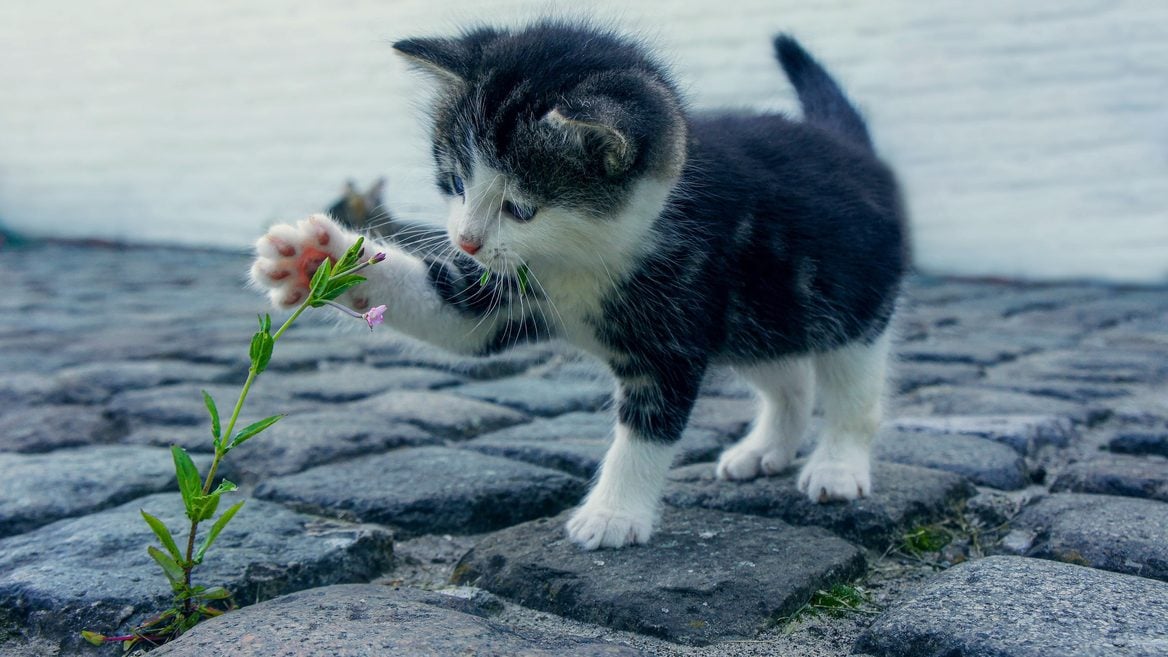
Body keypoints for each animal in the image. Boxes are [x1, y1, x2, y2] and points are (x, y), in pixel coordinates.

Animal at [251, 21, 906, 547]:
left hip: (850, 302)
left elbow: (647, 430)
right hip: (758, 316)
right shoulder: (505, 291)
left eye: (520, 208)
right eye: (456, 182)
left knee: (852, 389)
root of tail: (850, 146)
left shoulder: (674, 328)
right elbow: (454, 315)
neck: (583, 256)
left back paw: (837, 466)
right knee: (788, 375)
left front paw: (613, 515)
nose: (465, 240)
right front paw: (316, 258)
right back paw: (766, 448)